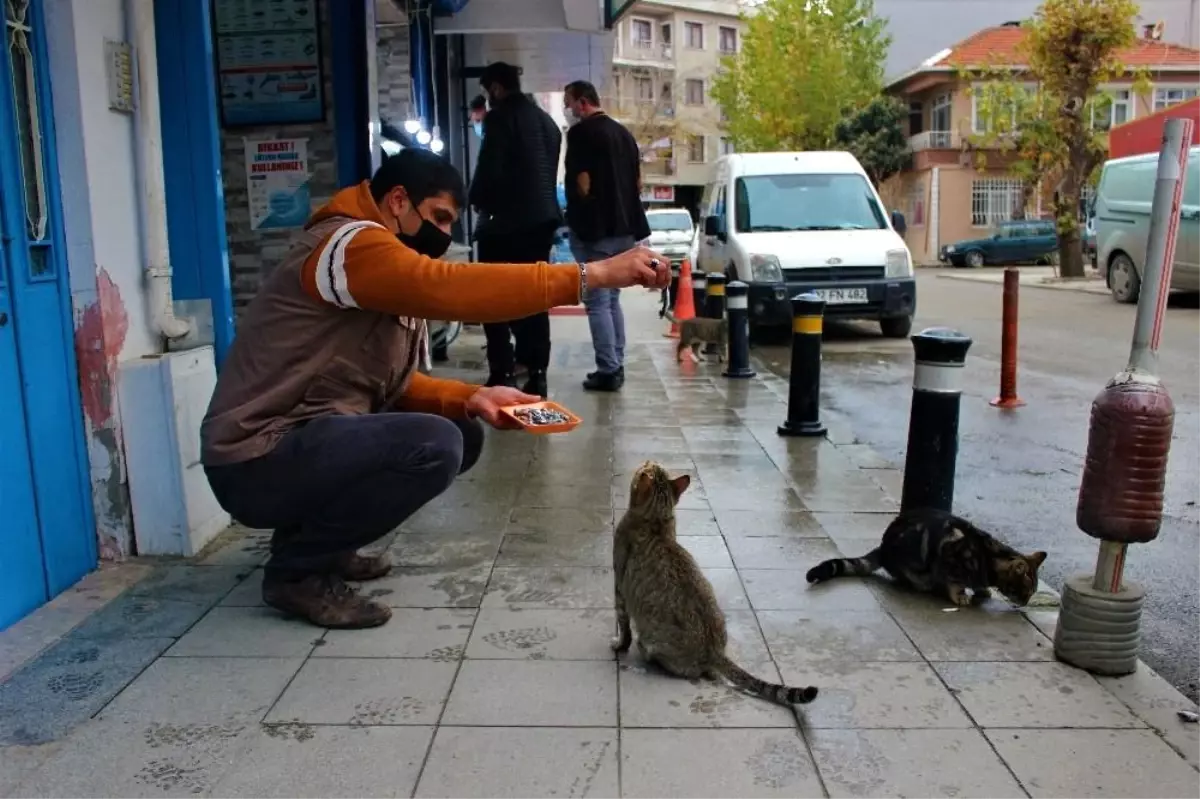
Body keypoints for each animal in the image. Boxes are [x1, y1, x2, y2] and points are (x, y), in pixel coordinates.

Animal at [614, 460, 820, 705]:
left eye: (647, 466)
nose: (648, 461)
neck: (657, 523)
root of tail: (715, 651)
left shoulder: (619, 584)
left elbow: (623, 624)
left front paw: (619, 645)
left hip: (653, 641)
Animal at [806, 506, 1051, 607]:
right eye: (1025, 592)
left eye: (1031, 593)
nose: (1026, 604)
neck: (987, 555)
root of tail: (883, 548)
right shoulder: (949, 555)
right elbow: (954, 582)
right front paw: (961, 595)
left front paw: (982, 590)